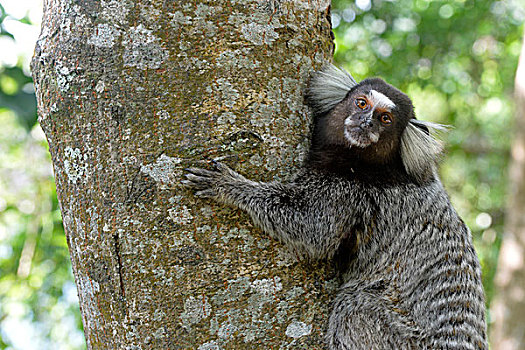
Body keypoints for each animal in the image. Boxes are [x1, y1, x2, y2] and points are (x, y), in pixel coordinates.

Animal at [182, 64, 486, 348]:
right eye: (361, 103)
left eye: (385, 119)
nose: (366, 123)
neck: (363, 164)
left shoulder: (349, 194)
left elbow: (313, 228)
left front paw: (232, 187)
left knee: (354, 306)